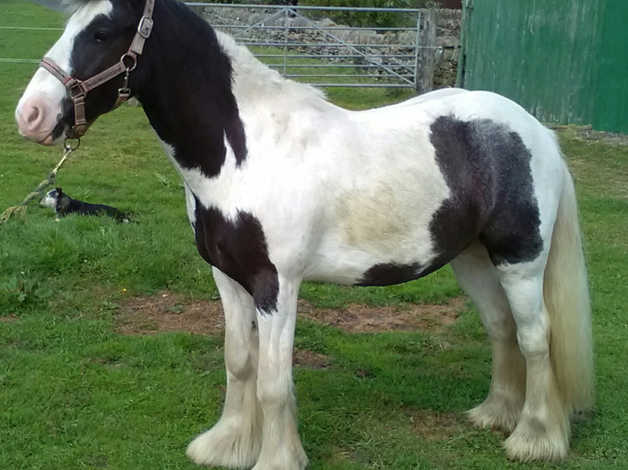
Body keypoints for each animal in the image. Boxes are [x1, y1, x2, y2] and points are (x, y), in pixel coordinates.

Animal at [14, 0, 592, 466]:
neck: (244, 151)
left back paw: (534, 439)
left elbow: (273, 383)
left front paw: (275, 459)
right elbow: (239, 363)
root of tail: (536, 131)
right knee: (501, 328)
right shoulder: (228, 280)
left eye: (102, 32)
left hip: (521, 259)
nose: (30, 115)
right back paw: (494, 415)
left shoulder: (277, 286)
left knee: (535, 336)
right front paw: (226, 446)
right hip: (472, 258)